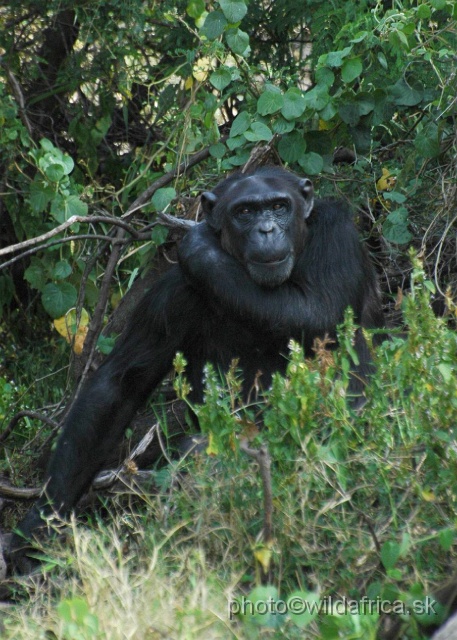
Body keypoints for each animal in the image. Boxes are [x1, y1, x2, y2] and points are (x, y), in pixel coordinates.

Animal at [10, 165, 382, 564]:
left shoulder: (339, 234)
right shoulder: (172, 292)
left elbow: (319, 311)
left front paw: (200, 246)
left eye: (279, 206)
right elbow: (120, 383)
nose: (267, 229)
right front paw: (38, 523)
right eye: (245, 212)